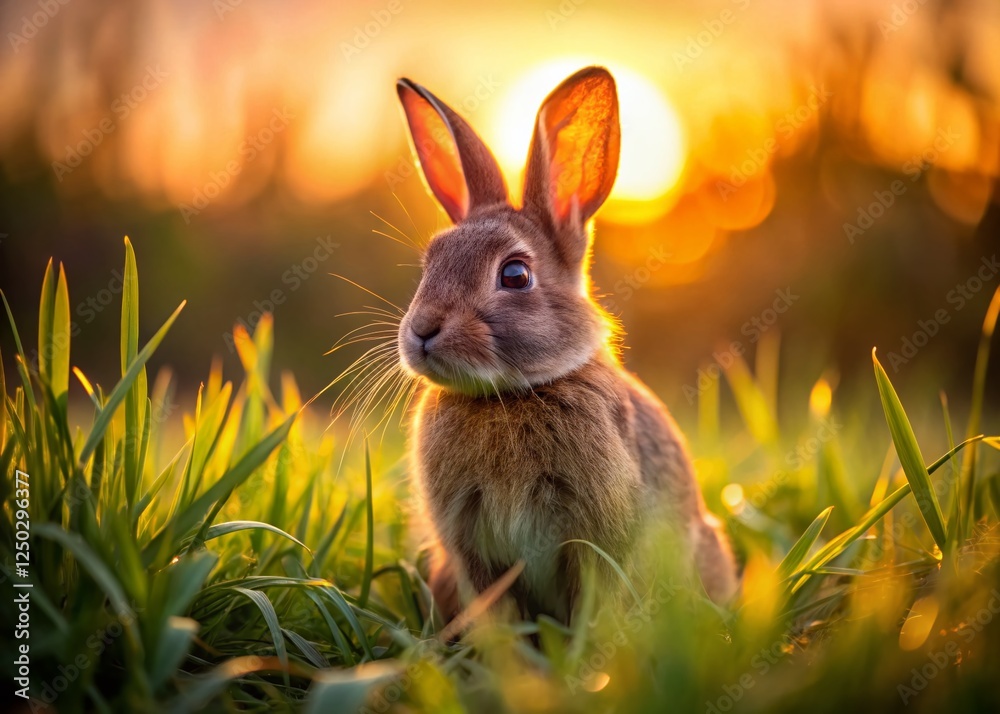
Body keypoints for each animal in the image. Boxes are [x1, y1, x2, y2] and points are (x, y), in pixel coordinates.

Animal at [394, 66, 738, 625]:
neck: (509, 397)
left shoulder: (593, 538)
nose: (422, 329)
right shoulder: (471, 548)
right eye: (430, 264)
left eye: (515, 275)